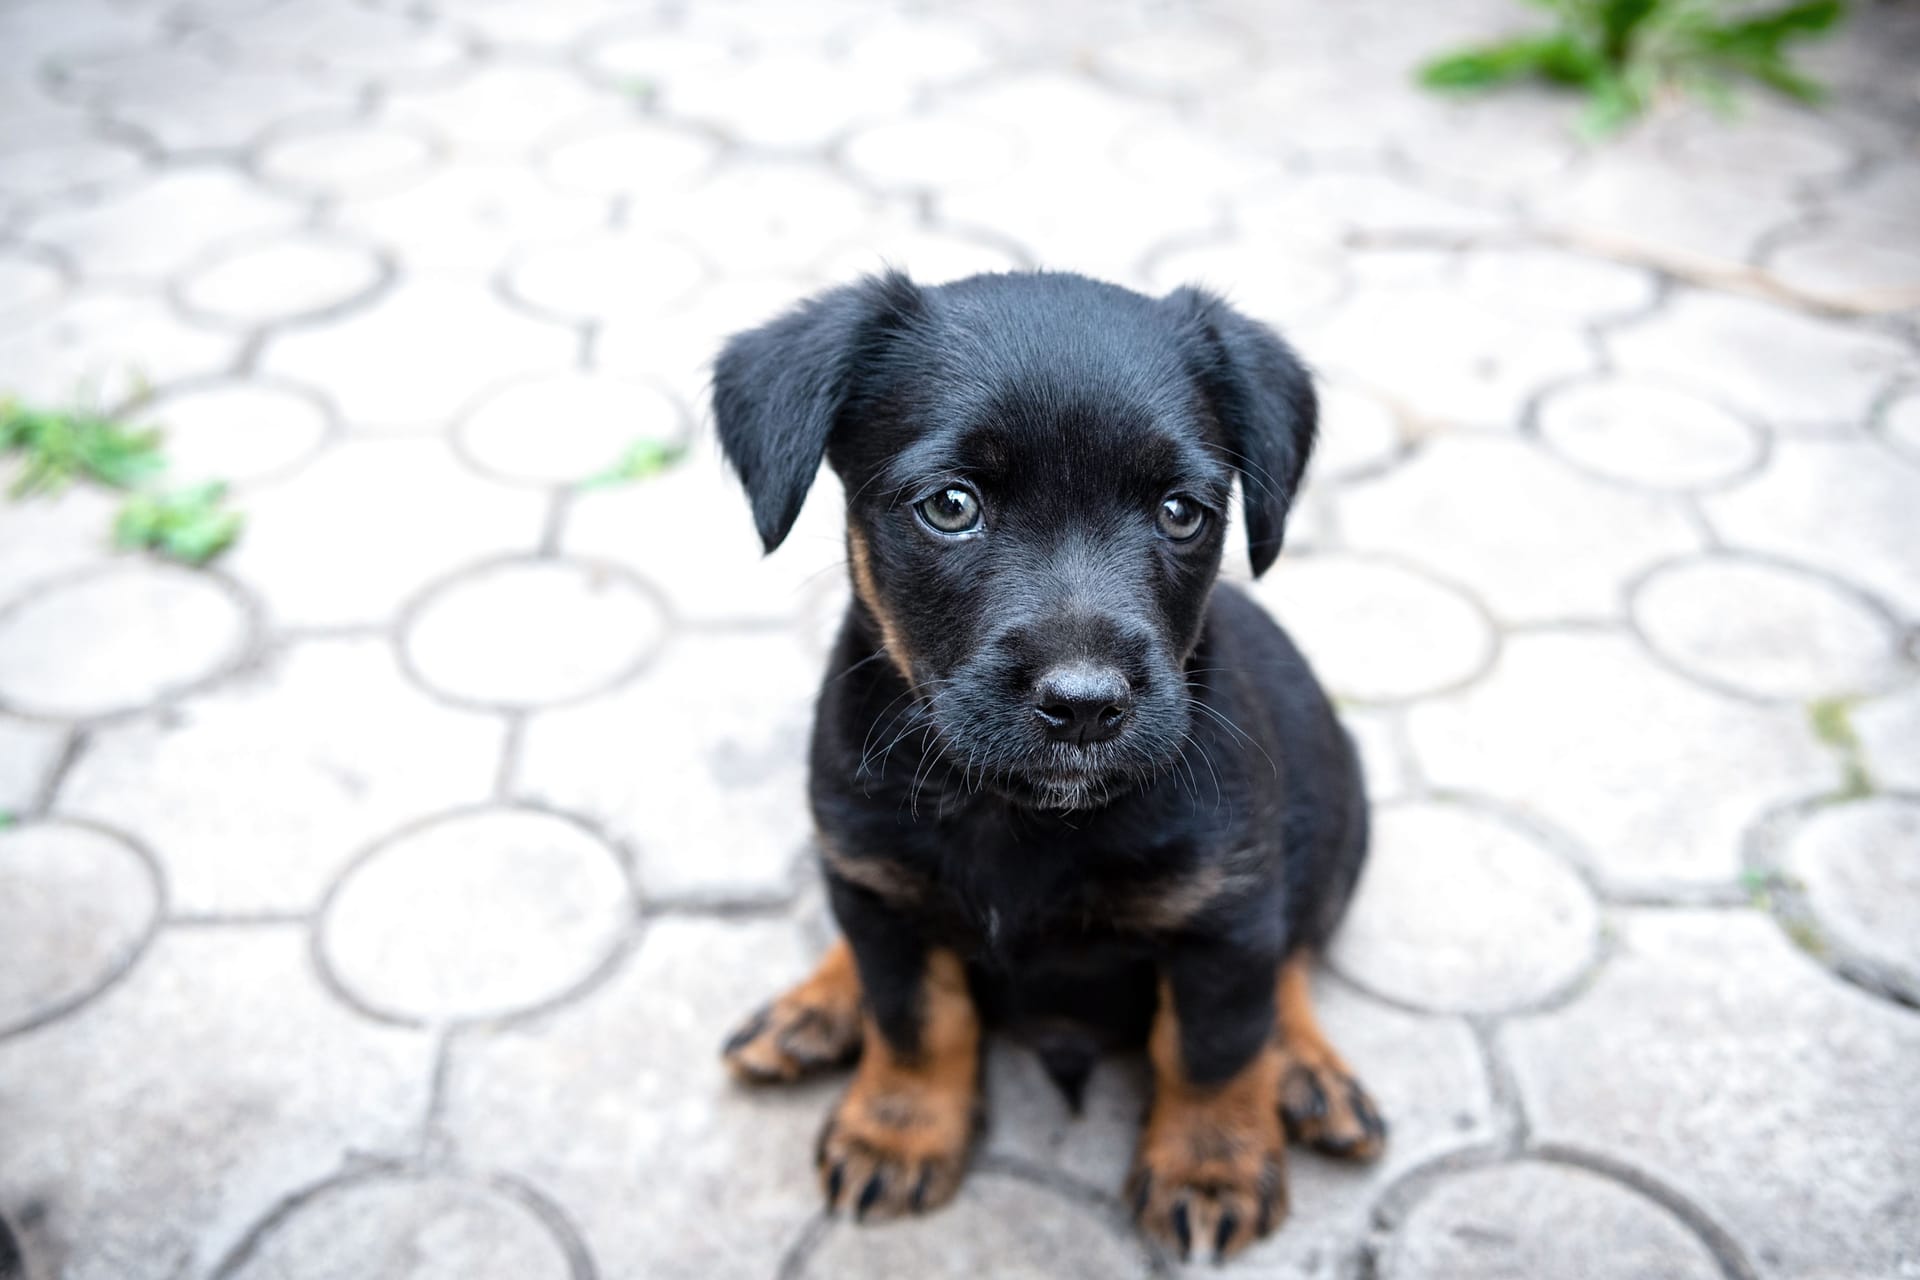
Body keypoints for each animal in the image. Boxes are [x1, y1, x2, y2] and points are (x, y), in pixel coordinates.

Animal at [714, 270, 1374, 1258]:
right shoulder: (875, 883)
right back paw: (816, 1007)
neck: (1016, 812)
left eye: (1181, 512)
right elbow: (915, 1019)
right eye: (951, 506)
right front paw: (898, 1130)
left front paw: (1209, 1165)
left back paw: (1304, 1067)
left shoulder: (1225, 913)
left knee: (1293, 953)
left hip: (1335, 814)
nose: (1087, 706)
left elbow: (1214, 1047)